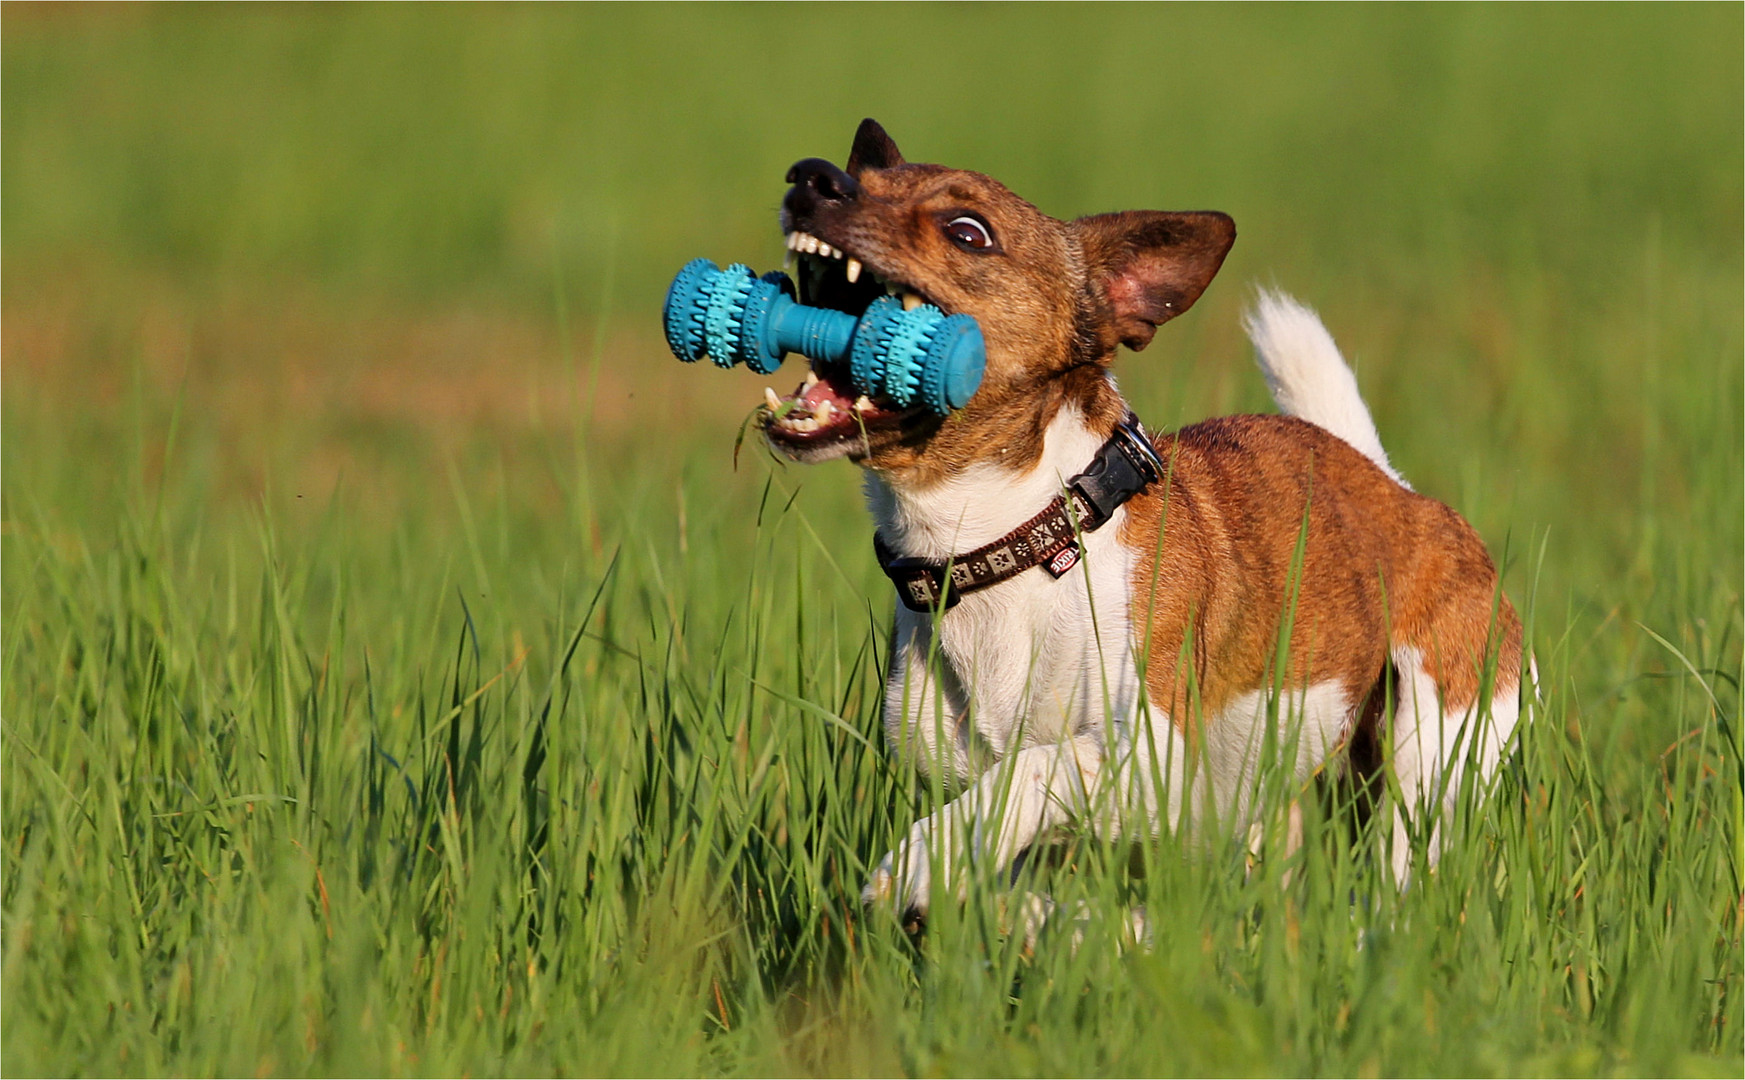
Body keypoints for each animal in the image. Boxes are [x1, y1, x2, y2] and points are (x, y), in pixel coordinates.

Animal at [757, 120, 1521, 921]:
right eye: (858, 177)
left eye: (967, 232)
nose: (812, 179)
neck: (1008, 542)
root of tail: (1394, 488)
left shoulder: (1161, 774)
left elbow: (1038, 766)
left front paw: (916, 861)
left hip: (1431, 757)